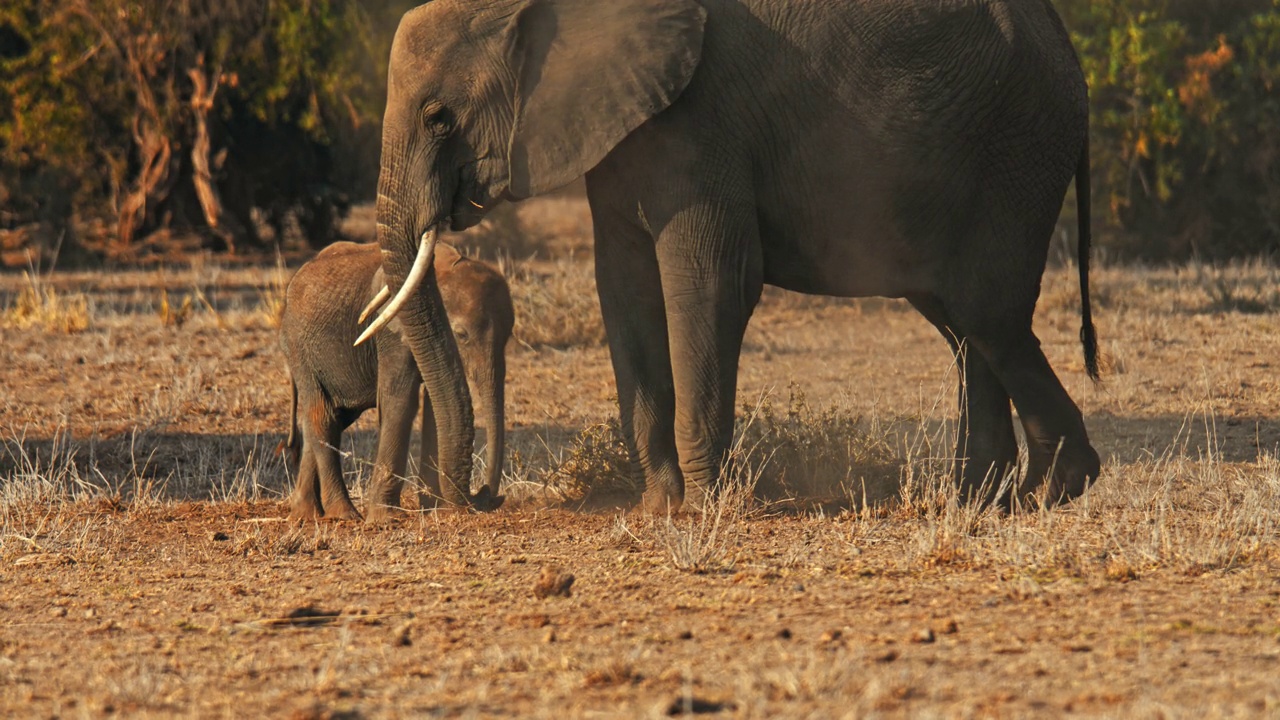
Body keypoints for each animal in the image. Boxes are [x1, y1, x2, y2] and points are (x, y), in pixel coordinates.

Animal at [281, 240, 514, 520]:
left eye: (509, 336)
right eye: (462, 335)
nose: (486, 494)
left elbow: (433, 409)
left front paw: (433, 507)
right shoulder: (391, 333)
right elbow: (400, 399)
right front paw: (385, 519)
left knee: (330, 418)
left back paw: (305, 514)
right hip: (298, 348)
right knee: (322, 416)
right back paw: (344, 515)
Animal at [366, 0, 1105, 509]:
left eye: (437, 116)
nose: (475, 498)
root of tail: (1071, 50)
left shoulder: (701, 120)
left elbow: (708, 284)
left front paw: (702, 505)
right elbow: (624, 289)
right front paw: (659, 505)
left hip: (1019, 149)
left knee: (986, 313)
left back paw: (1052, 490)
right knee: (961, 325)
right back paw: (981, 502)